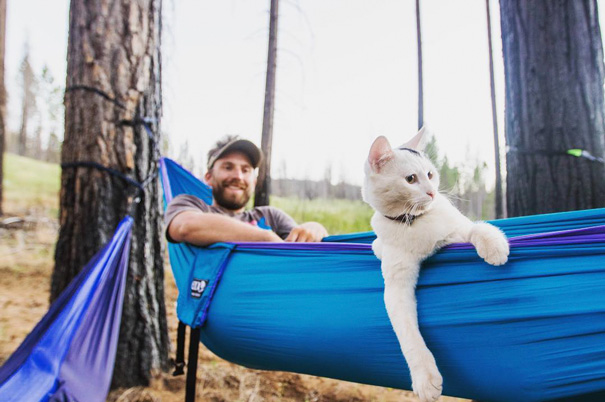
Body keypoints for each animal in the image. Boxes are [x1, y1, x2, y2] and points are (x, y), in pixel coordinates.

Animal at [360, 130, 508, 402]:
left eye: (430, 174)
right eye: (410, 179)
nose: (432, 193)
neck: (413, 222)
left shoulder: (458, 231)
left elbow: (477, 229)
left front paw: (495, 247)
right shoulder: (396, 287)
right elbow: (408, 335)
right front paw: (424, 379)